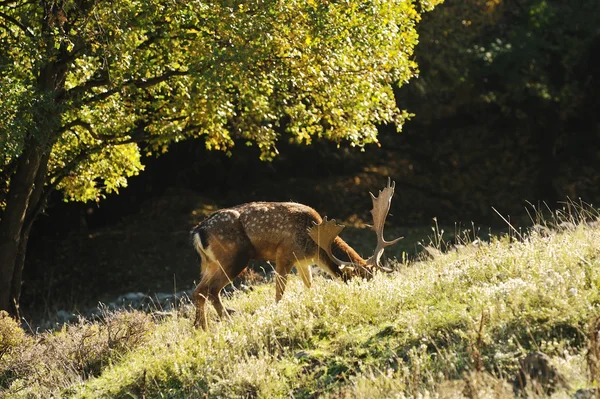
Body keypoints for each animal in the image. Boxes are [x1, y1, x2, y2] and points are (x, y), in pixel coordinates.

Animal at [190, 180, 400, 330]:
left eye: (373, 277)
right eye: (359, 279)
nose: (369, 298)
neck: (316, 244)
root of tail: (199, 232)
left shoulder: (303, 262)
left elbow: (309, 286)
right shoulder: (284, 254)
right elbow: (279, 292)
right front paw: (277, 314)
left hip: (211, 263)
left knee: (198, 290)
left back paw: (202, 328)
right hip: (234, 257)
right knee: (212, 289)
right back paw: (227, 321)